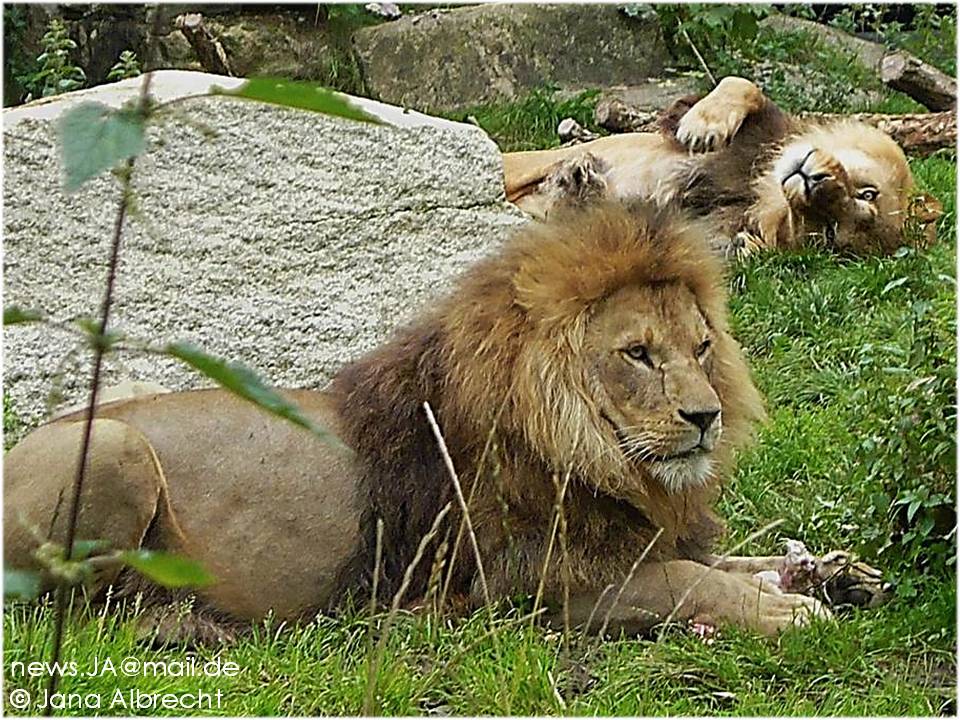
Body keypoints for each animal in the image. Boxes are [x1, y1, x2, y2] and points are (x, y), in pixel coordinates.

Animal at [9, 201, 884, 640]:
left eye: (703, 347)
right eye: (637, 353)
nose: (705, 417)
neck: (599, 450)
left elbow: (727, 559)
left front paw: (827, 571)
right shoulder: (530, 582)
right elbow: (689, 581)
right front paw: (785, 609)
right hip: (114, 445)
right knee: (68, 612)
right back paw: (183, 623)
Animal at [506, 75, 940, 256]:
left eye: (832, 231)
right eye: (868, 193)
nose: (814, 184)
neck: (757, 190)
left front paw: (750, 246)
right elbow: (745, 84)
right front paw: (701, 127)